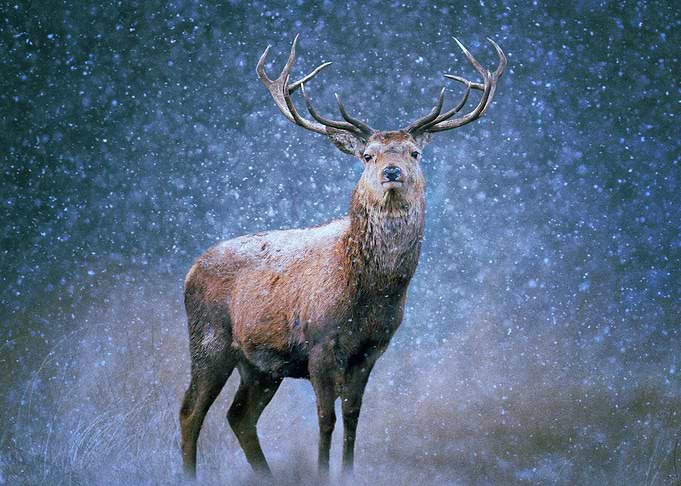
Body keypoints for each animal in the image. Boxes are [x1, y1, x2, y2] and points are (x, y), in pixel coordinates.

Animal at [179, 34, 506, 479]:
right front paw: (321, 472)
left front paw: (349, 472)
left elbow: (352, 416)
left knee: (239, 415)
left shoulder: (371, 349)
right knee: (190, 411)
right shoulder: (319, 342)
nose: (391, 172)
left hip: (260, 365)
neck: (368, 293)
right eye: (367, 155)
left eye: (414, 153)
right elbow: (325, 418)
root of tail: (190, 269)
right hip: (209, 337)